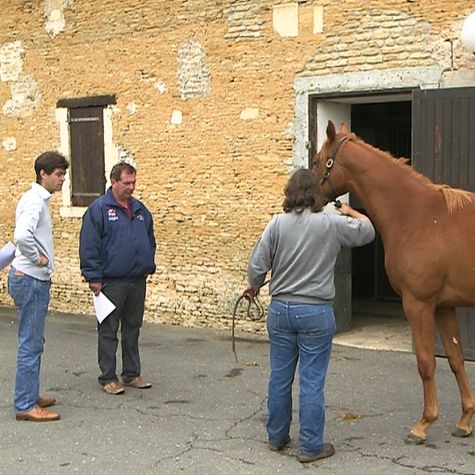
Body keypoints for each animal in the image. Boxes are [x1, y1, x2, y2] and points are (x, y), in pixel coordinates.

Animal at [314, 121, 474, 444]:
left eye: (317, 161)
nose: (302, 197)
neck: (419, 216)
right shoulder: (444, 306)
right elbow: (455, 359)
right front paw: (465, 420)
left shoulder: (418, 303)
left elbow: (425, 361)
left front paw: (423, 424)